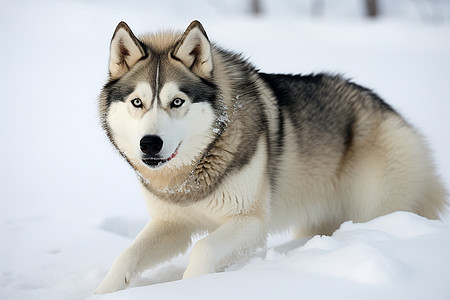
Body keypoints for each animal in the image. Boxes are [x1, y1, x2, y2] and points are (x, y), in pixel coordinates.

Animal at [95, 20, 446, 292]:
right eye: (138, 102)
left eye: (177, 102)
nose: (149, 144)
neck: (193, 172)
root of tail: (391, 110)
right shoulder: (171, 224)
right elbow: (126, 256)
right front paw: (103, 290)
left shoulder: (250, 222)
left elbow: (203, 248)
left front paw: (193, 287)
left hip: (375, 208)